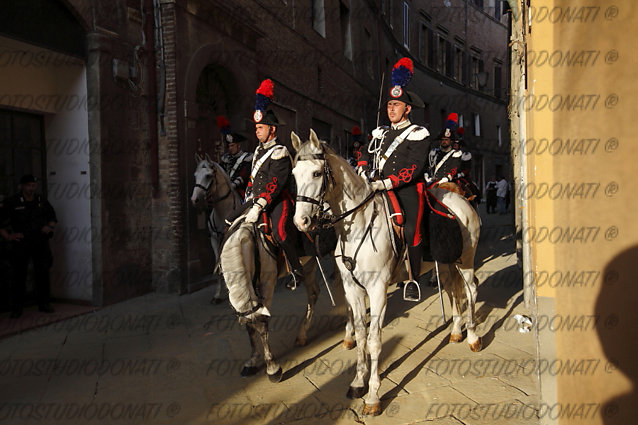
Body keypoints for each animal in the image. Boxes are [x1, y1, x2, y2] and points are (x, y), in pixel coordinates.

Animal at [191, 152, 244, 302]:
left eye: (208, 175)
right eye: (195, 175)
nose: (194, 199)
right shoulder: (215, 239)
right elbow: (218, 264)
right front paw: (218, 294)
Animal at [292, 129, 482, 414]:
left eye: (316, 173)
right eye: (293, 174)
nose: (301, 222)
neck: (359, 224)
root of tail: (461, 201)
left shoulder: (377, 290)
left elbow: (374, 341)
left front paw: (373, 396)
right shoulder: (353, 288)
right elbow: (360, 335)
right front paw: (357, 382)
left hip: (466, 260)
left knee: (470, 292)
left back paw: (472, 337)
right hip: (447, 264)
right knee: (453, 291)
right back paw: (457, 332)